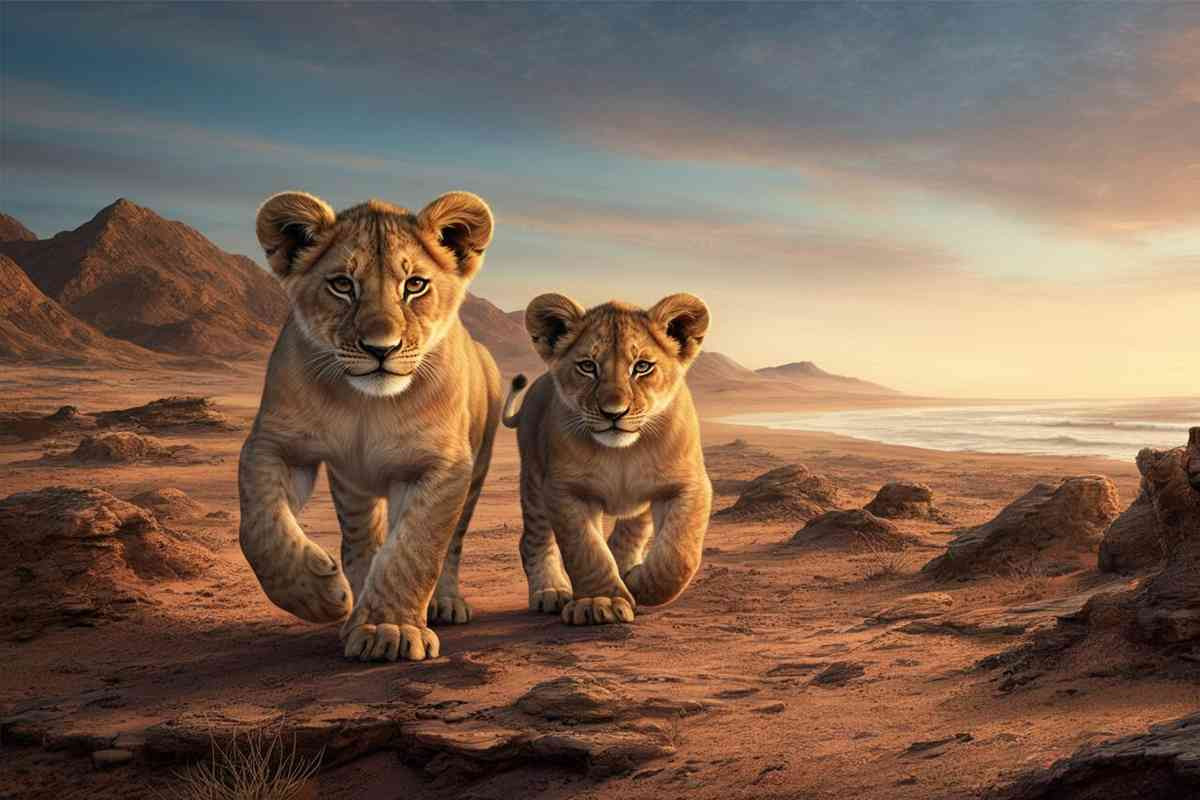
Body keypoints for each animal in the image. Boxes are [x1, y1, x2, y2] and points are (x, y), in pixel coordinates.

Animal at [239, 190, 501, 662]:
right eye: (343, 284)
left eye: (414, 285)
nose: (382, 348)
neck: (367, 405)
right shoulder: (275, 443)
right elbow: (260, 527)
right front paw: (317, 595)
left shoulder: (441, 465)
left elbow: (415, 550)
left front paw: (389, 629)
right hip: (354, 486)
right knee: (362, 541)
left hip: (476, 470)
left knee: (449, 544)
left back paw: (443, 603)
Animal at [502, 293, 713, 624]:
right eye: (588, 366)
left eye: (642, 367)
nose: (614, 412)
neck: (622, 454)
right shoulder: (564, 490)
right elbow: (585, 550)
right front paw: (600, 602)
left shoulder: (688, 484)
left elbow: (678, 555)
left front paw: (636, 582)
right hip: (533, 481)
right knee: (533, 539)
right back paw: (550, 591)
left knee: (631, 532)